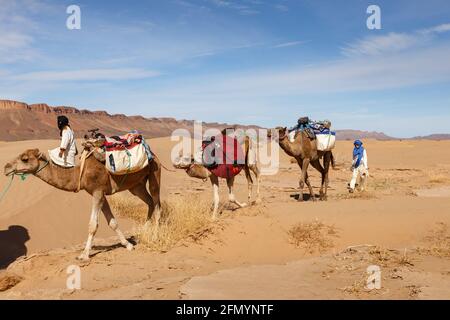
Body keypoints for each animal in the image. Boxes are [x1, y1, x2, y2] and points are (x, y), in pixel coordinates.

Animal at [3, 144, 162, 260]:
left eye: (24, 158)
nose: (6, 167)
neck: (79, 174)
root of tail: (153, 155)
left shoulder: (97, 192)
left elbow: (92, 225)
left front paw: (84, 255)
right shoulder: (100, 194)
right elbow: (112, 222)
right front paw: (128, 245)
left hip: (154, 173)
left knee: (157, 204)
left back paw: (154, 236)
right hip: (136, 186)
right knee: (149, 202)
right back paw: (143, 232)